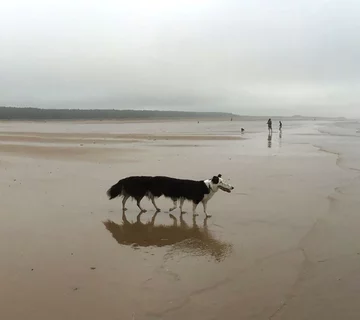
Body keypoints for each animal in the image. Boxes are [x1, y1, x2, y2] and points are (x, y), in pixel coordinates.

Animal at [106, 175, 236, 218]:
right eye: (221, 182)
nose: (232, 187)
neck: (208, 186)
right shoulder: (194, 199)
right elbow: (190, 207)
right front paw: (193, 214)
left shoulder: (202, 200)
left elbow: (204, 209)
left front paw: (207, 215)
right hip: (141, 193)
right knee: (135, 201)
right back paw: (142, 209)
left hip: (143, 193)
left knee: (125, 199)